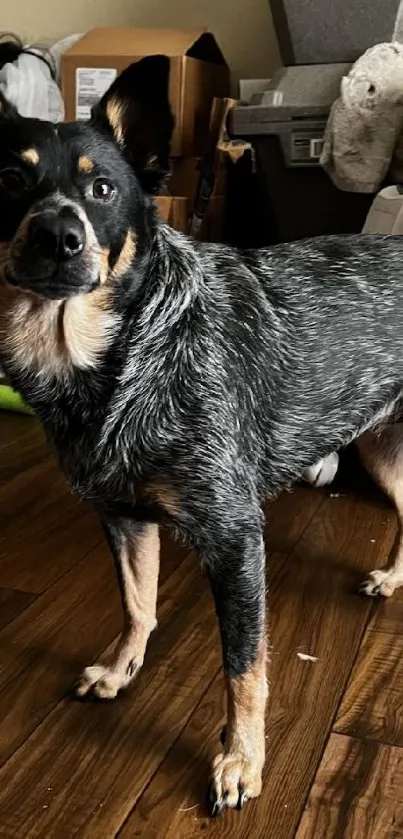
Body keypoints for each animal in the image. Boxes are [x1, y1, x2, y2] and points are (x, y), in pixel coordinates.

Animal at [0, 55, 403, 816]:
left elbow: (244, 668)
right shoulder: (122, 515)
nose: (57, 237)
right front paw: (120, 668)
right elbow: (137, 603)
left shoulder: (234, 536)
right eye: (9, 180)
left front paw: (241, 761)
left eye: (102, 189)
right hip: (379, 442)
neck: (113, 358)